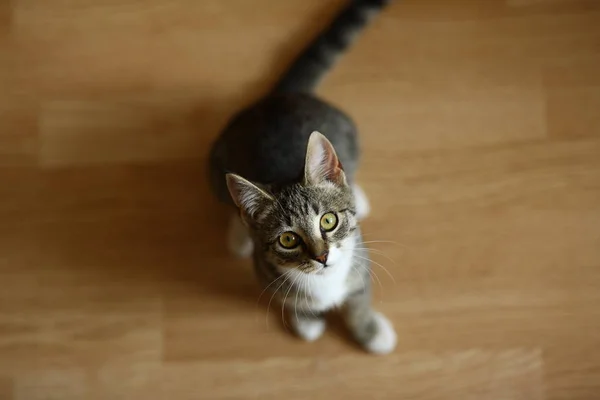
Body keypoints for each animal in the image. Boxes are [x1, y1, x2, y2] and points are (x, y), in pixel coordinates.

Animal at [209, 0, 396, 356]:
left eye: (328, 221)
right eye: (288, 239)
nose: (322, 257)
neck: (325, 283)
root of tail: (279, 98)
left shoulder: (361, 262)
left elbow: (358, 300)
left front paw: (369, 329)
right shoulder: (266, 272)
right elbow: (289, 299)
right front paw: (306, 320)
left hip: (349, 129)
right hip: (214, 160)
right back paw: (238, 235)